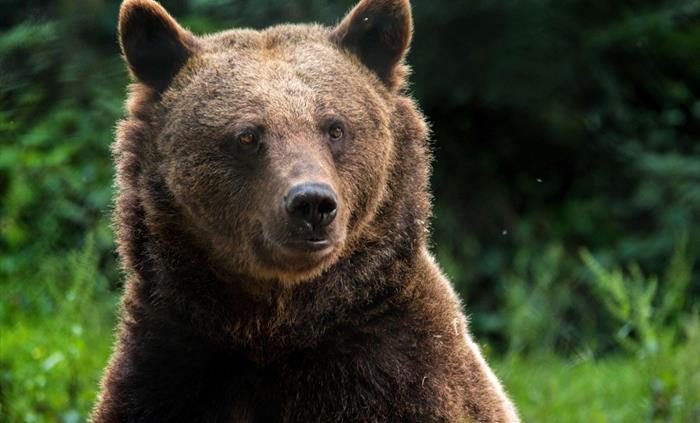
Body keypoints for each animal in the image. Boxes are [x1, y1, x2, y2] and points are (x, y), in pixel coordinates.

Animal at [91, 0, 520, 421]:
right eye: (247, 136)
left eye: (335, 128)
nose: (312, 202)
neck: (278, 326)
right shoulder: (170, 365)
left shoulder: (402, 375)